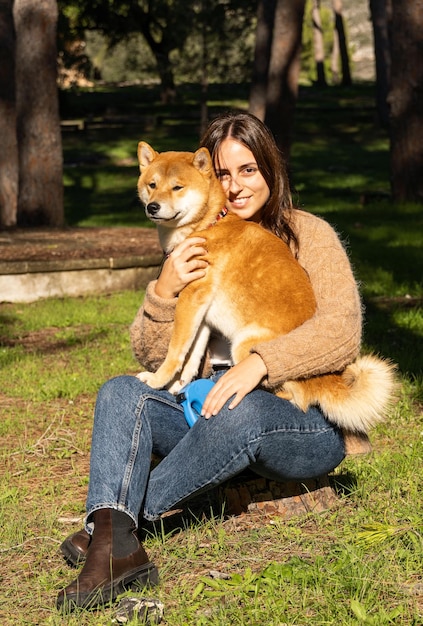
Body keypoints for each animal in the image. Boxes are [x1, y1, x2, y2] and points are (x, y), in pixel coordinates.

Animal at [137, 143, 398, 434]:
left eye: (177, 187)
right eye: (152, 185)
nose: (153, 206)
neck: (208, 224)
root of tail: (324, 378)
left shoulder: (191, 299)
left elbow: (175, 352)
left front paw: (157, 380)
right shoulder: (201, 312)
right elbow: (191, 356)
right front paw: (177, 386)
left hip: (243, 344)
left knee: (295, 396)